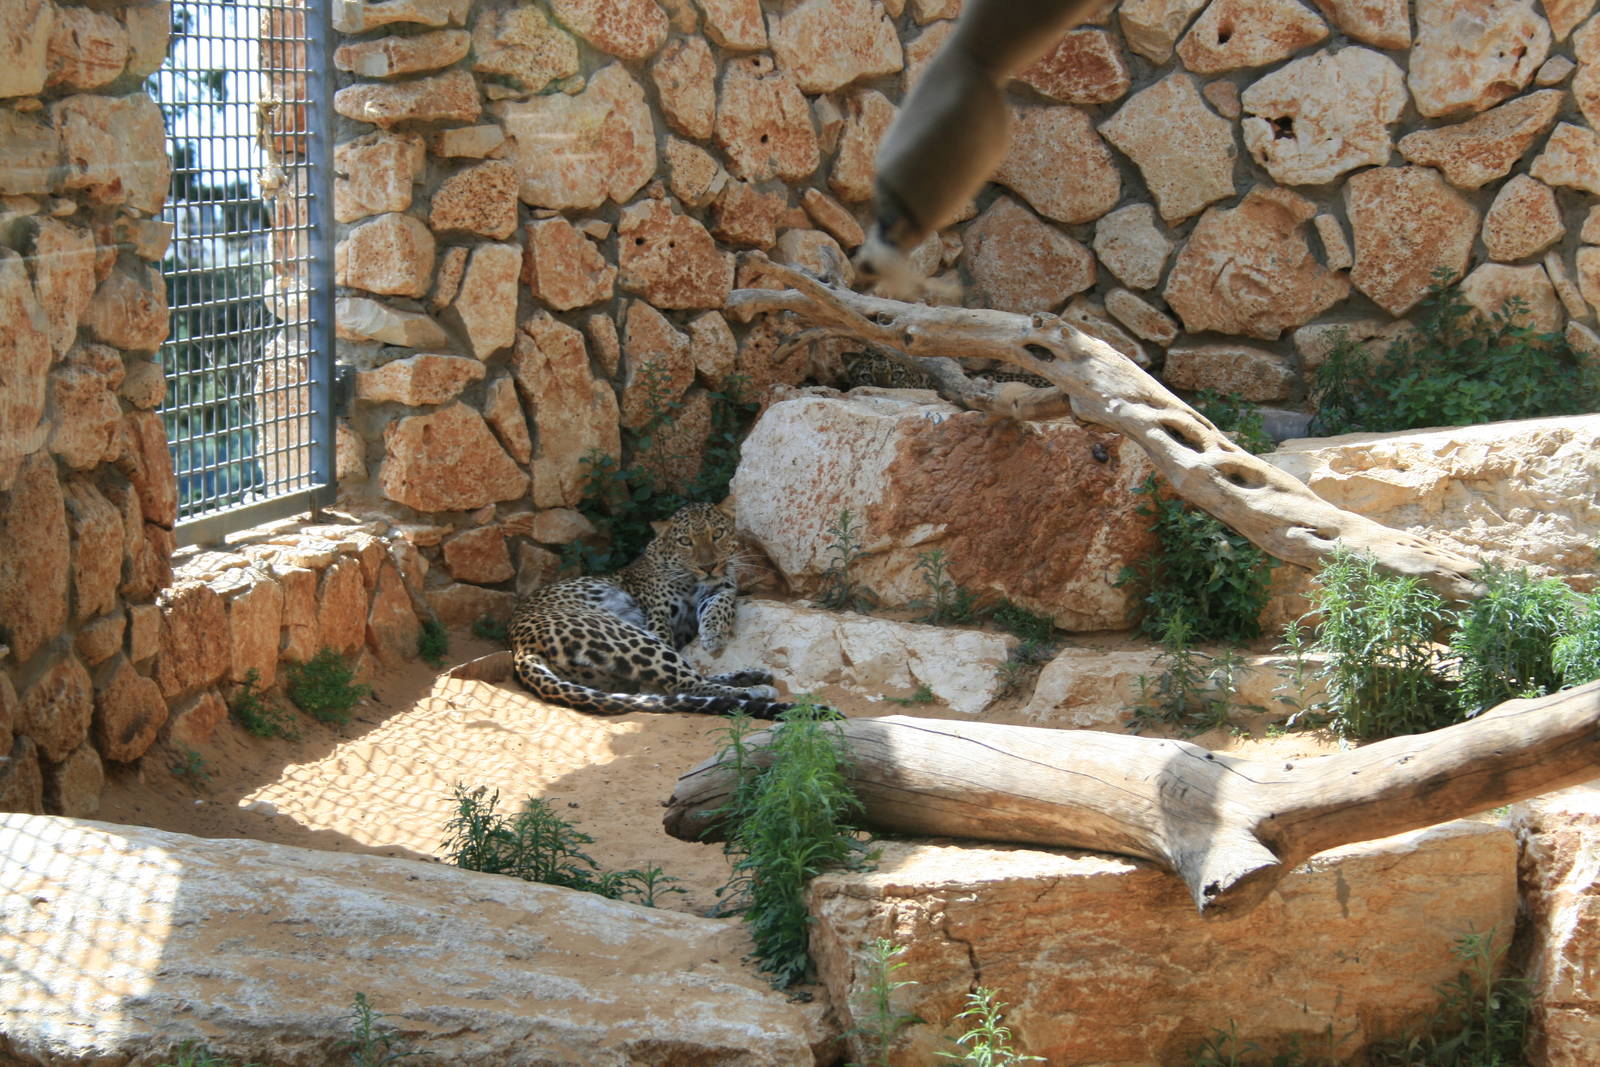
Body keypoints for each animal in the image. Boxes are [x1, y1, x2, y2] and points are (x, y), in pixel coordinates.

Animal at [505, 501, 790, 719]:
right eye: (685, 541)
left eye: (717, 534)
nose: (708, 566)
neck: (691, 579)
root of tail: (519, 648)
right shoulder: (657, 615)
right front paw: (714, 639)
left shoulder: (718, 588)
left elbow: (722, 601)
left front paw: (713, 634)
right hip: (622, 633)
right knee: (681, 683)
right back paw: (755, 691)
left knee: (679, 679)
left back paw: (752, 675)